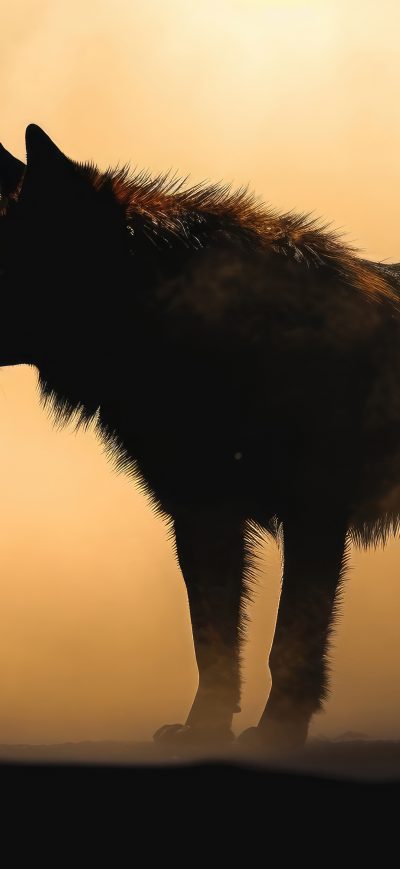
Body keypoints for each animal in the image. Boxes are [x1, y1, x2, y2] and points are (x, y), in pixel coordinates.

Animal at [1, 125, 400, 749]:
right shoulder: (202, 513)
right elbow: (210, 641)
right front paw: (206, 727)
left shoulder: (313, 511)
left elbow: (290, 640)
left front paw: (279, 730)